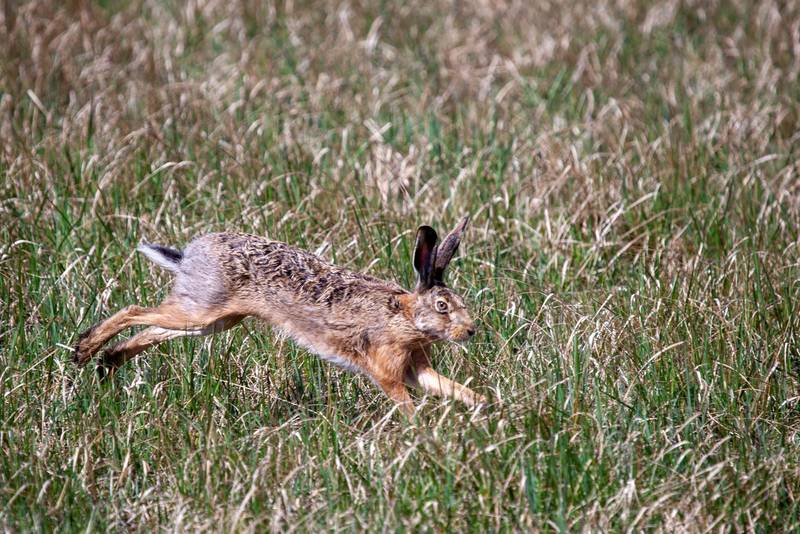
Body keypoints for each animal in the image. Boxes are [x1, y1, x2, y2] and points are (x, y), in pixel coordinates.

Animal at [72, 216, 486, 415]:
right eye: (443, 307)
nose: (470, 331)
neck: (405, 318)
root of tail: (191, 254)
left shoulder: (415, 367)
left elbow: (450, 387)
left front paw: (484, 406)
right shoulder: (387, 370)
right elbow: (406, 403)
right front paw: (421, 431)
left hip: (210, 320)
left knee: (153, 329)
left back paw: (107, 362)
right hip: (203, 310)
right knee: (134, 310)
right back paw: (84, 350)